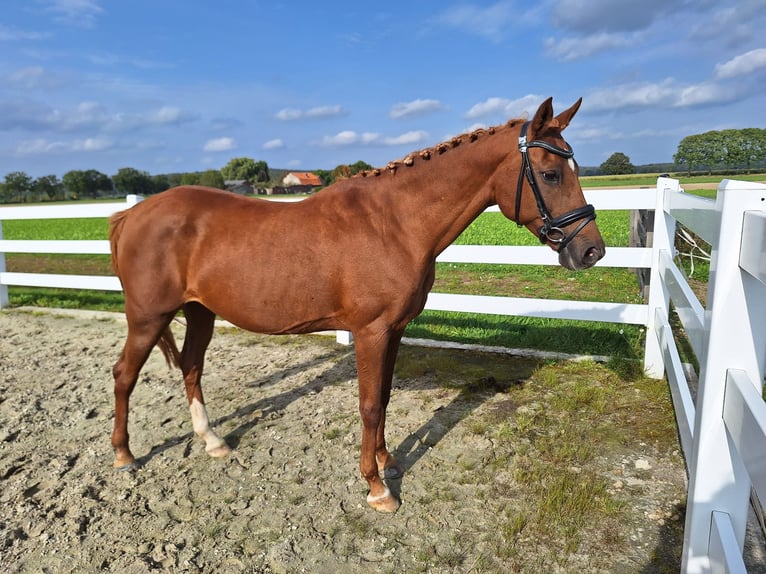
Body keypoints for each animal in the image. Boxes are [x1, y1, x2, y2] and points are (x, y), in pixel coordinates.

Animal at [108, 98, 608, 512]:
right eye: (550, 173)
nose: (591, 252)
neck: (394, 223)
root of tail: (132, 213)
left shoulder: (395, 329)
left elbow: (383, 398)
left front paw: (388, 461)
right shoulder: (371, 331)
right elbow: (368, 405)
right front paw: (377, 488)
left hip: (200, 311)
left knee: (191, 367)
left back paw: (212, 441)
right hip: (148, 317)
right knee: (125, 375)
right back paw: (125, 455)